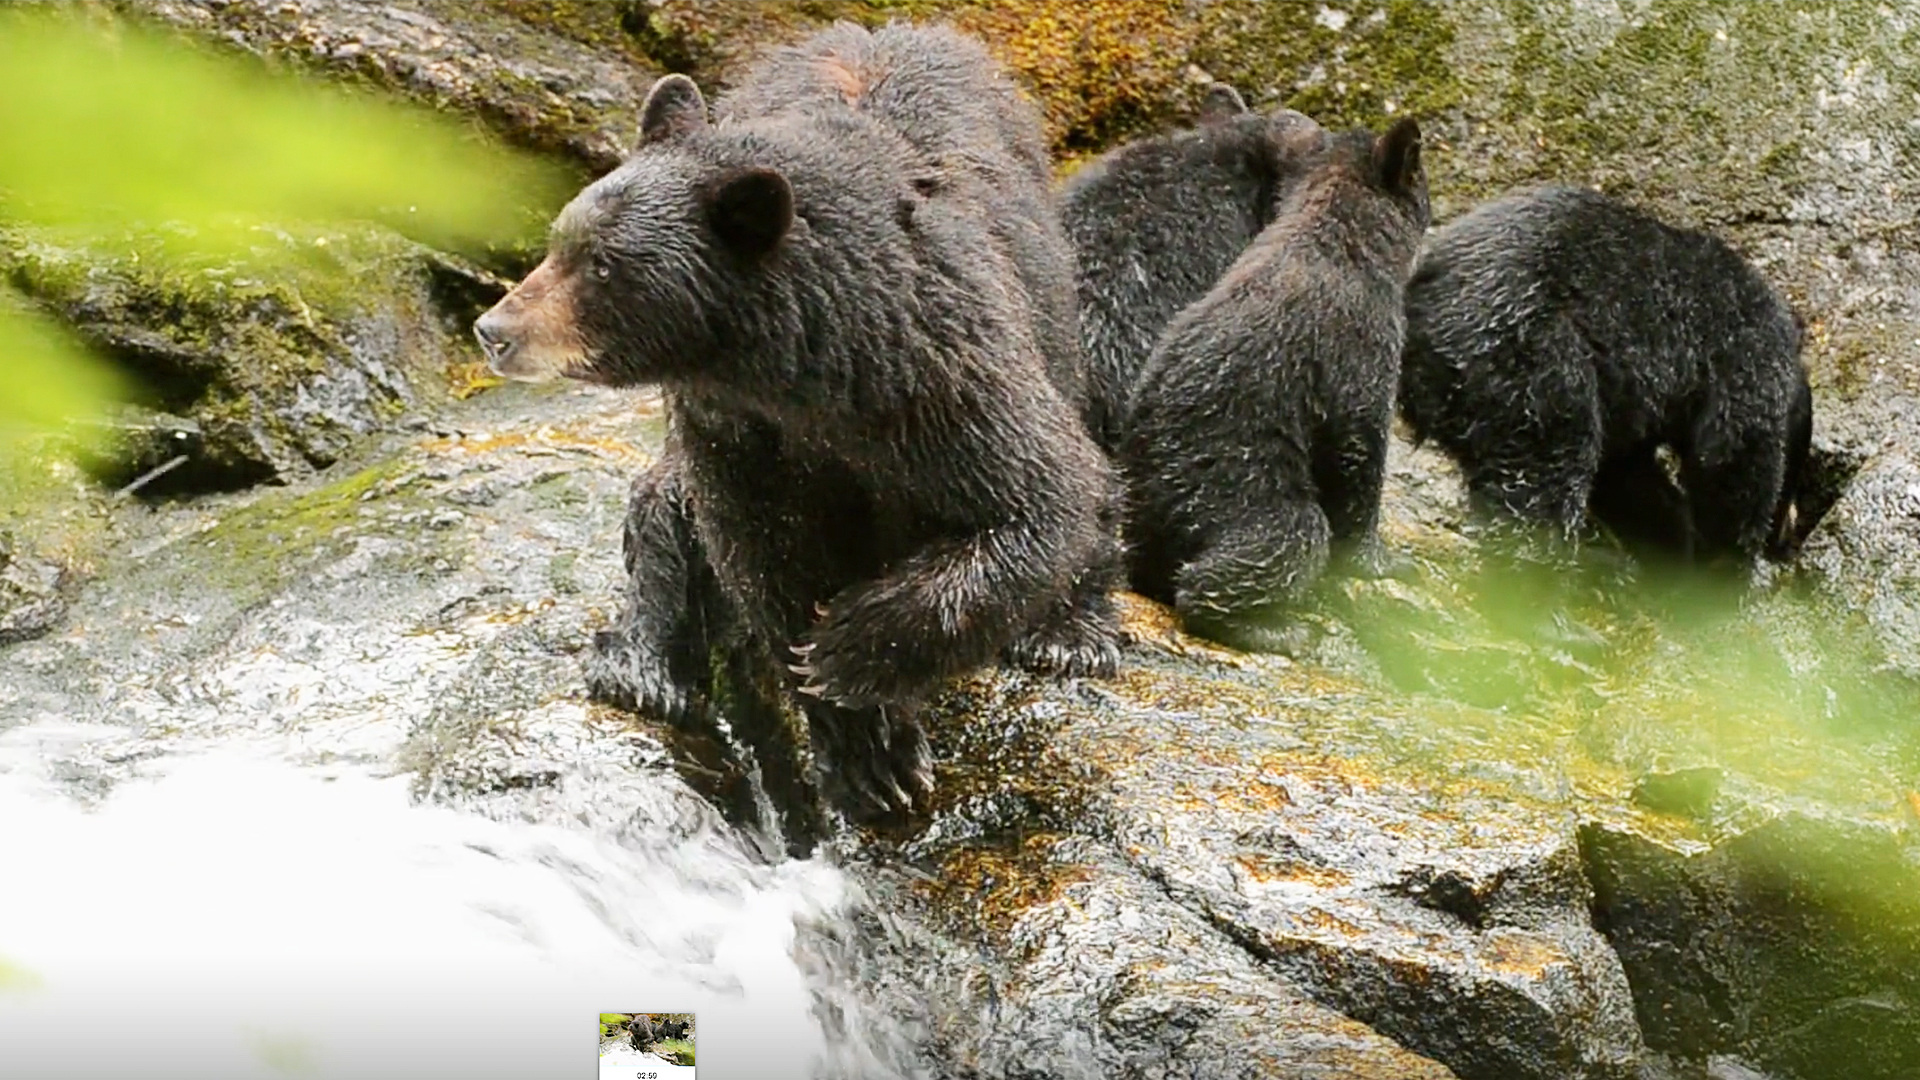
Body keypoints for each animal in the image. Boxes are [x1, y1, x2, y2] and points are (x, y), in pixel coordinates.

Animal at [470, 23, 1121, 814]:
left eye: (602, 265)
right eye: (560, 239)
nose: (494, 330)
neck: (802, 371)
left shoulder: (939, 368)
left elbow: (1035, 497)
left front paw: (853, 648)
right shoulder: (734, 430)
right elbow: (763, 551)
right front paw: (868, 748)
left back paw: (1070, 631)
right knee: (662, 505)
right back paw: (641, 665)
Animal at [1121, 122, 1428, 653]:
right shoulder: (1363, 347)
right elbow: (1358, 454)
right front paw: (1380, 560)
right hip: (1237, 494)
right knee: (1287, 537)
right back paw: (1273, 629)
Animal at [1397, 184, 1812, 557]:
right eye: (1794, 481)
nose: (1785, 540)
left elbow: (1626, 476)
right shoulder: (1746, 355)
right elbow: (1731, 457)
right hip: (1525, 357)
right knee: (1545, 471)